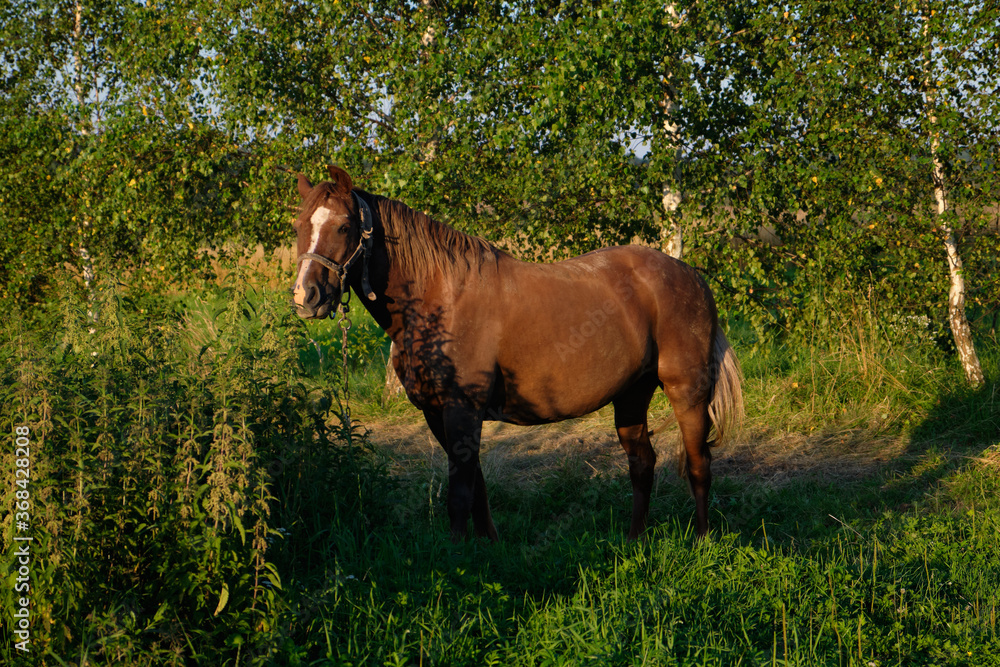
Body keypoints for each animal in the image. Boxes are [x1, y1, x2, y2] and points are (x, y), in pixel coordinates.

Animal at [291, 165, 743, 542]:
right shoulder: (438, 413)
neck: (440, 296)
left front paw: (455, 562)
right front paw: (486, 547)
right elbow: (476, 487)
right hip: (632, 394)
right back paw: (635, 541)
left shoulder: (462, 409)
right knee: (642, 464)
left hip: (686, 391)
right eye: (298, 227)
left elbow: (459, 494)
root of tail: (691, 276)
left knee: (698, 463)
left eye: (345, 226)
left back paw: (703, 541)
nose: (305, 297)